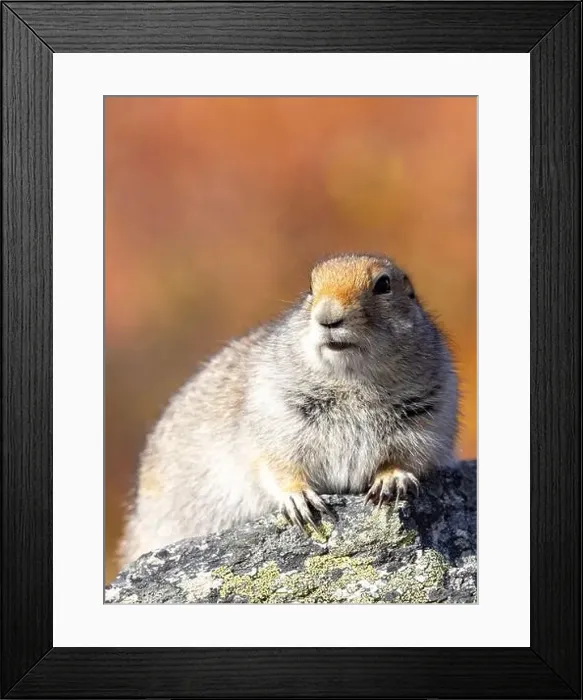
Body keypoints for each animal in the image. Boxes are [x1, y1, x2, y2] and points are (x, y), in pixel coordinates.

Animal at [120, 253, 458, 567]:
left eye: (383, 285)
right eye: (310, 287)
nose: (327, 317)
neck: (351, 380)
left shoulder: (428, 415)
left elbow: (409, 457)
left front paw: (392, 480)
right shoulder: (275, 415)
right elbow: (276, 464)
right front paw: (300, 500)